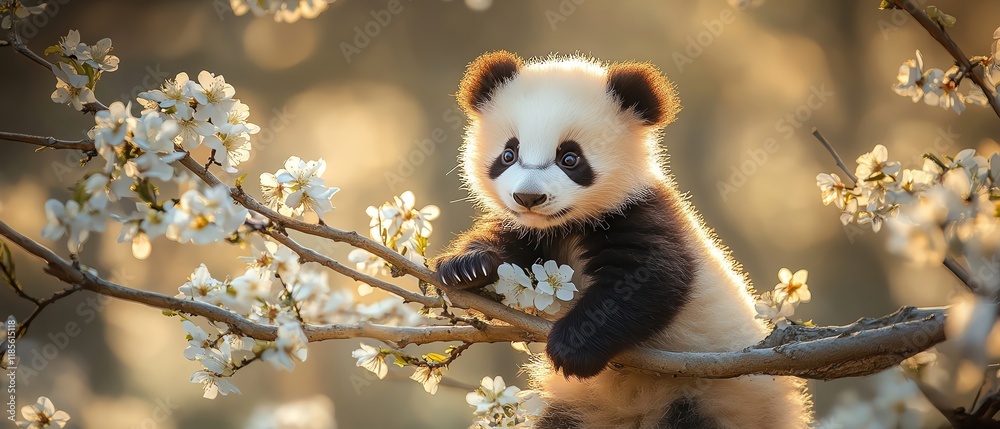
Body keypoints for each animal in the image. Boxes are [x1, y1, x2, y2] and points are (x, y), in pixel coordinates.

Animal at [434, 51, 812, 429]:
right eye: (508, 154)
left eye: (570, 158)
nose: (528, 197)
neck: (569, 225)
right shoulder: (537, 232)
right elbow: (508, 249)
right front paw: (467, 268)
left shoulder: (639, 212)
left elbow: (648, 279)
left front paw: (571, 346)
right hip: (575, 410)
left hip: (709, 398)